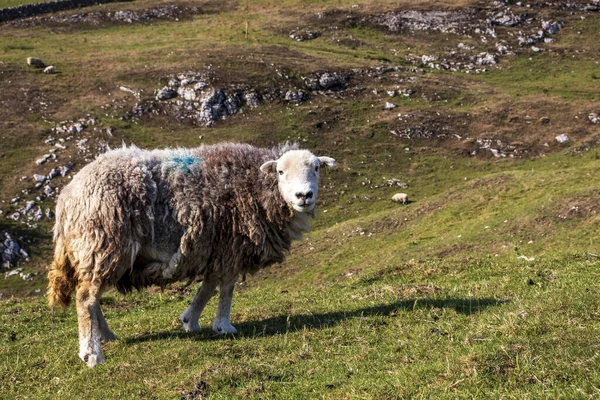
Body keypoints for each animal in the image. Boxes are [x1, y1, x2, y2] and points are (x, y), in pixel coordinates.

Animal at [47, 142, 336, 368]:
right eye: (280, 171)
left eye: (316, 168)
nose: (304, 195)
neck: (256, 187)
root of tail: (66, 197)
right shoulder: (231, 245)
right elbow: (226, 288)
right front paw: (223, 325)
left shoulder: (215, 248)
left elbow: (208, 286)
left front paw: (190, 320)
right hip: (103, 241)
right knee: (86, 297)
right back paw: (91, 353)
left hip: (96, 249)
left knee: (92, 296)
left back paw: (105, 336)